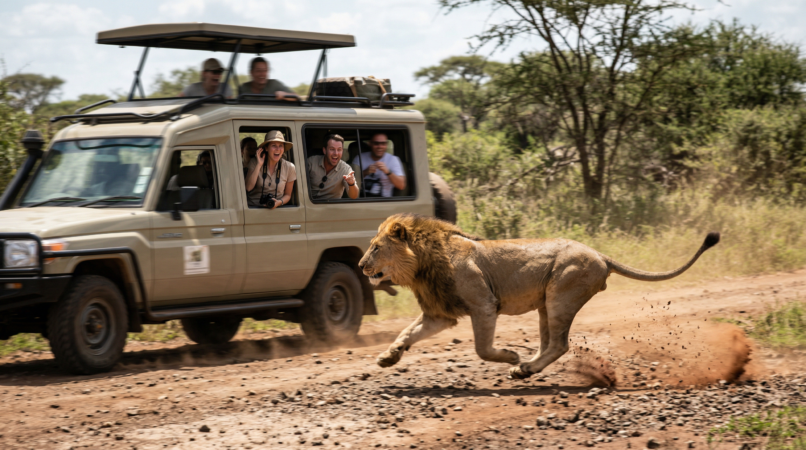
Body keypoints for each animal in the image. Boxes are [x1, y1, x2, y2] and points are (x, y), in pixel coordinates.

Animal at [358, 213, 719, 379]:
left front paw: (510, 356)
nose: (360, 265)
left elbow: (482, 348)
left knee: (559, 344)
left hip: (561, 295)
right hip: (547, 304)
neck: (420, 266)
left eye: (375, 247)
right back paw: (528, 367)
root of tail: (601, 255)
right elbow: (408, 332)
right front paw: (388, 357)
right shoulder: (440, 313)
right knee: (549, 343)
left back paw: (524, 368)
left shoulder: (483, 305)